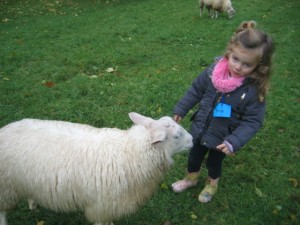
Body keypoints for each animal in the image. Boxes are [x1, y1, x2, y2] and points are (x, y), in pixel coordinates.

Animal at [0, 112, 192, 225]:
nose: (192, 139)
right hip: (6, 188)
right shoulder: (102, 207)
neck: (130, 152)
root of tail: (4, 131)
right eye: (177, 136)